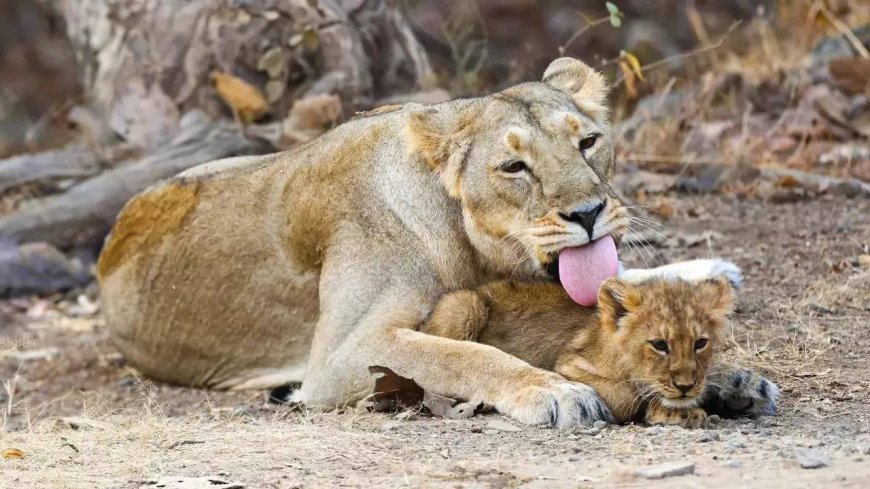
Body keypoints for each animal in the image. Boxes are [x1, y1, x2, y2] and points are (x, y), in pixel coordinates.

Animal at [423, 276, 780, 427]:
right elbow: (626, 394)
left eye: (700, 343)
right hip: (463, 305)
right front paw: (670, 411)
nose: (685, 385)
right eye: (659, 345)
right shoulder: (568, 364)